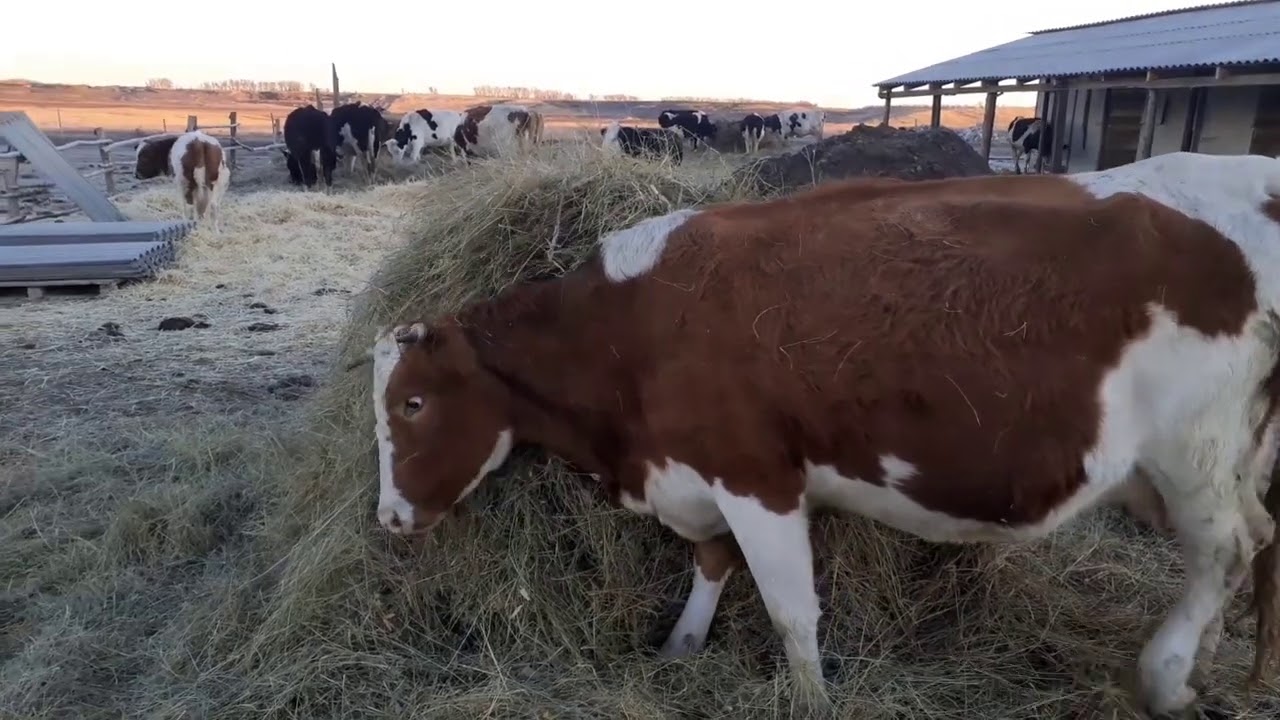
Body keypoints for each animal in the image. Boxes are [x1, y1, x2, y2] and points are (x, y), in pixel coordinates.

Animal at [360, 151, 1280, 717]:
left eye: (412, 404)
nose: (390, 521)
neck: (632, 332)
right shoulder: (698, 475)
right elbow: (711, 561)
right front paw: (682, 646)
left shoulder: (757, 476)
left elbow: (791, 611)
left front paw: (808, 699)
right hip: (1218, 462)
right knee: (1254, 541)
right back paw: (1209, 658)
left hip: (1193, 453)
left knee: (1223, 552)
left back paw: (1166, 677)